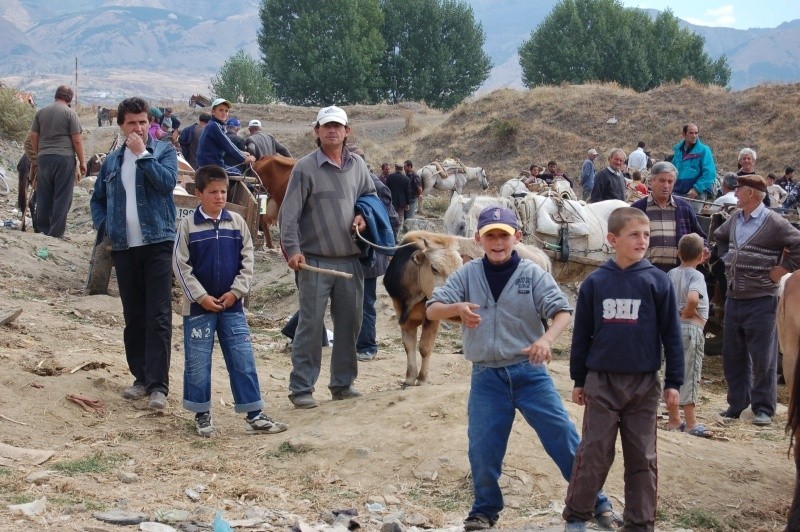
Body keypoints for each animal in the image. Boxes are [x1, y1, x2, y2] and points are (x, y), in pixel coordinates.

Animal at [382, 231, 462, 384]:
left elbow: (425, 347)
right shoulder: (402, 316)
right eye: (434, 268)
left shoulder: (432, 318)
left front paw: (423, 379)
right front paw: (410, 377)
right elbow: (409, 346)